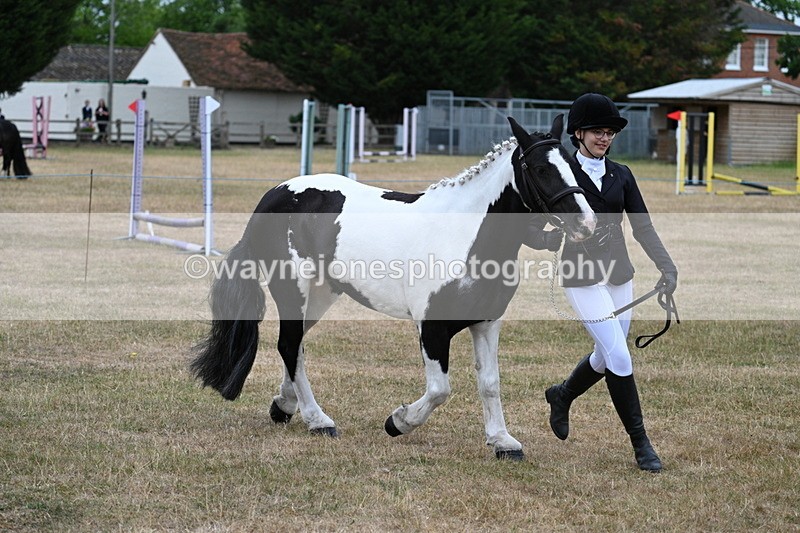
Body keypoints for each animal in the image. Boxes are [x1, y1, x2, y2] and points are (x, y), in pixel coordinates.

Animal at [191, 115, 597, 460]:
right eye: (541, 168)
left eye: (574, 165)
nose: (586, 224)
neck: (466, 234)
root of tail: (275, 195)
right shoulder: (432, 327)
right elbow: (440, 389)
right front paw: (398, 422)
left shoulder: (486, 322)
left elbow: (490, 382)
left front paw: (503, 442)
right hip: (293, 288)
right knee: (289, 345)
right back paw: (318, 420)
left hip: (321, 294)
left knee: (296, 346)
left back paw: (285, 406)